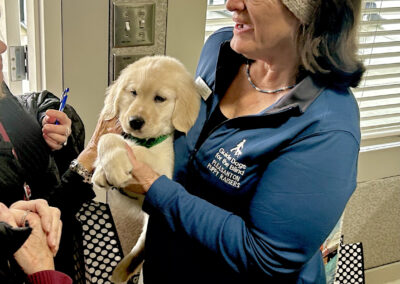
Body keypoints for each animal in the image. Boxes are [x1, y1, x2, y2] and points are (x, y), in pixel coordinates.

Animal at [93, 55, 200, 282]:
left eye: (160, 98)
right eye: (133, 92)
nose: (135, 122)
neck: (147, 141)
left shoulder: (163, 170)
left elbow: (127, 145)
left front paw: (114, 166)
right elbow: (110, 138)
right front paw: (102, 170)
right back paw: (122, 271)